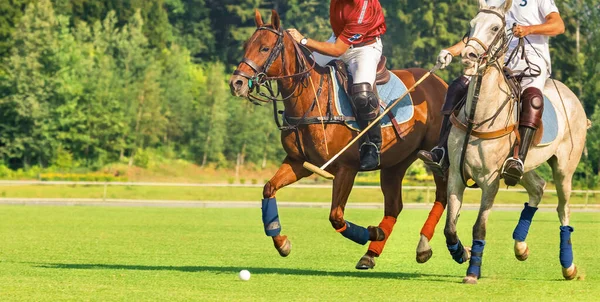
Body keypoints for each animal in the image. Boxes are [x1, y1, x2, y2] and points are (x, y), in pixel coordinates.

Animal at [230, 10, 450, 268]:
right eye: (246, 45)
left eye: (265, 48)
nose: (236, 83)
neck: (311, 99)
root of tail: (441, 83)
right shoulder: (299, 162)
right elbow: (268, 188)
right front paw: (282, 243)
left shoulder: (346, 167)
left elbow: (335, 216)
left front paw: (373, 232)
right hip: (395, 163)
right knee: (394, 206)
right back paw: (369, 255)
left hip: (434, 155)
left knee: (442, 195)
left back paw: (424, 246)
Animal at [446, 0, 592, 284]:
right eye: (471, 24)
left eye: (495, 28)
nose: (469, 56)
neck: (478, 118)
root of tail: (573, 97)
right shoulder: (455, 174)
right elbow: (450, 226)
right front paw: (461, 253)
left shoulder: (490, 180)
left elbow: (479, 226)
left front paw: (473, 271)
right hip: (523, 165)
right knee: (537, 188)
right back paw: (520, 246)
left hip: (565, 168)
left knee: (563, 209)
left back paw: (568, 266)